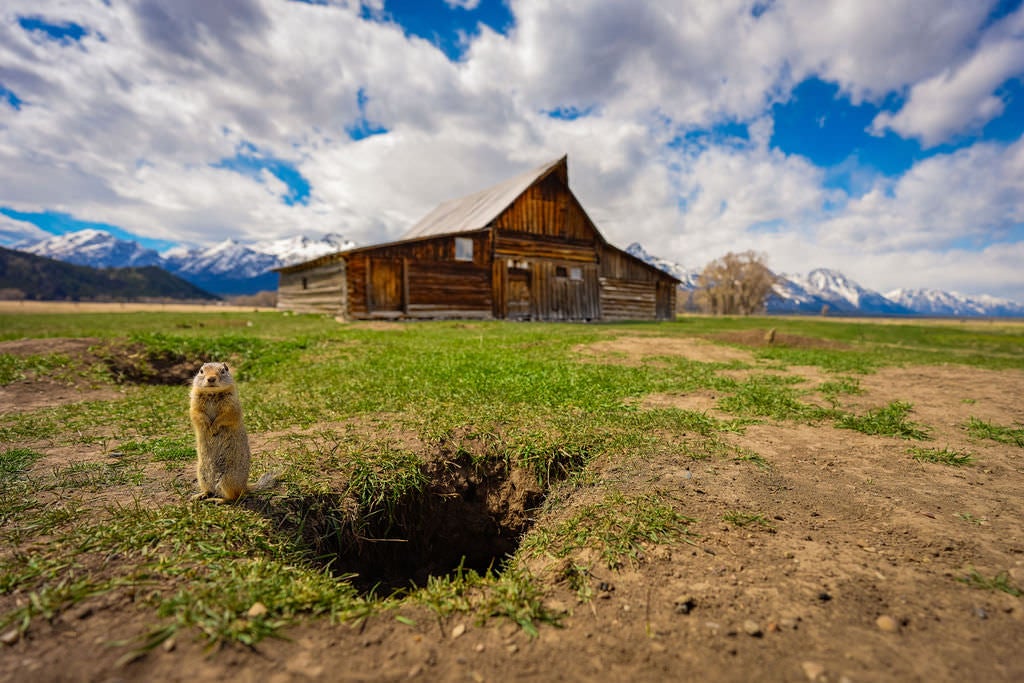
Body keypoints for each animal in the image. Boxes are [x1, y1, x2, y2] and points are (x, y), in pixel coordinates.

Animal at [189, 362, 272, 503]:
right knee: (209, 490)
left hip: (227, 479)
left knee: (233, 497)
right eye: (201, 371)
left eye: (223, 370)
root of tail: (244, 487)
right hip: (201, 474)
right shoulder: (194, 404)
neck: (212, 394)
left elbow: (226, 416)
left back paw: (218, 500)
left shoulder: (232, 404)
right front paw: (207, 425)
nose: (211, 379)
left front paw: (213, 427)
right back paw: (199, 495)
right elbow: (197, 414)